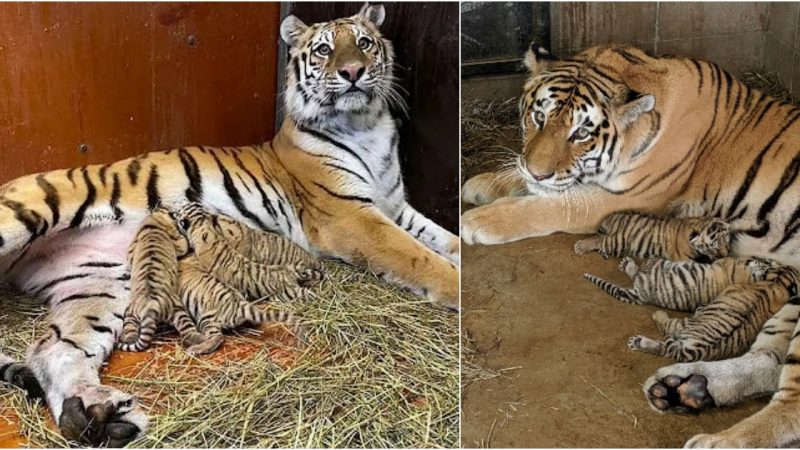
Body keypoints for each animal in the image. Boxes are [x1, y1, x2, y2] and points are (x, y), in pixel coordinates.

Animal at [462, 42, 800, 446]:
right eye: (539, 117)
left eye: (581, 134)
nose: (538, 172)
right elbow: (534, 183)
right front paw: (484, 184)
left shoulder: (620, 198)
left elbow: (549, 205)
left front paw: (479, 220)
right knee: (767, 362)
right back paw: (683, 387)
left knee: (790, 400)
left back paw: (719, 439)